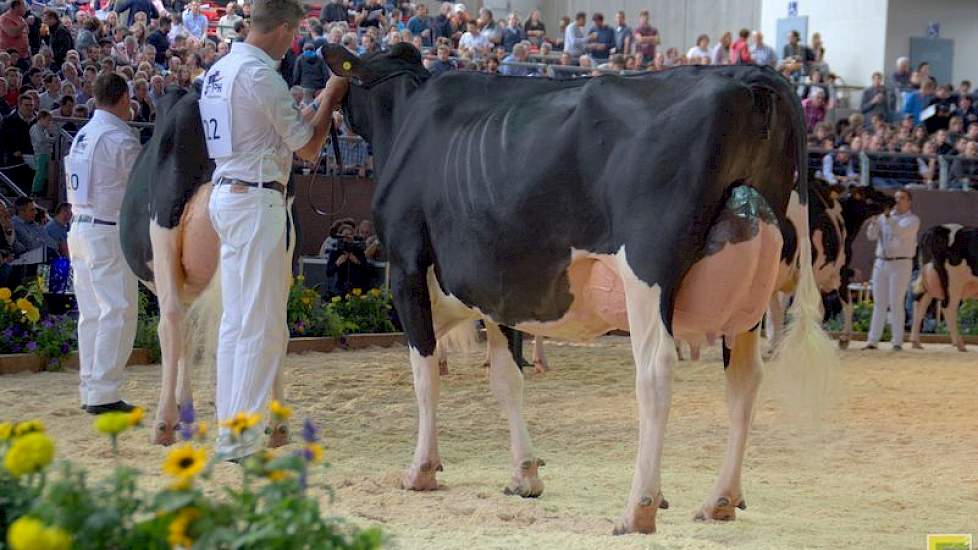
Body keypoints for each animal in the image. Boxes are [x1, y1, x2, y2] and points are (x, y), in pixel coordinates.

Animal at [318, 45, 832, 536]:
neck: (407, 115)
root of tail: (747, 74)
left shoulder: (407, 266)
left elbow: (425, 375)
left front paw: (421, 470)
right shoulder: (500, 289)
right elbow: (507, 379)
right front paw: (524, 474)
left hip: (647, 271)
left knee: (655, 373)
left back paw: (639, 508)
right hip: (751, 286)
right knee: (744, 380)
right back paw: (720, 500)